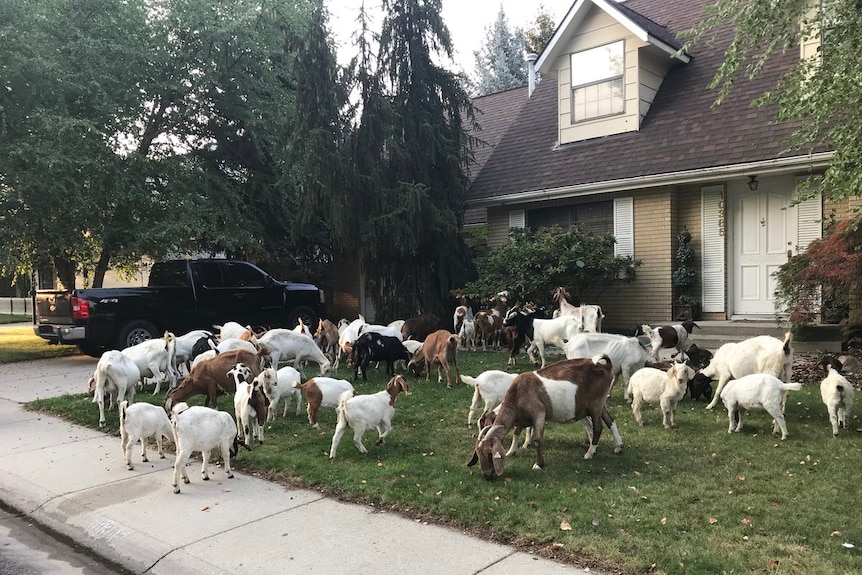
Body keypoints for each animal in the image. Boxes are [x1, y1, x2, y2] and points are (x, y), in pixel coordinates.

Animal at [470, 358, 624, 480]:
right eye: (478, 453)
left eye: (489, 454)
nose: (486, 475)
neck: (518, 392)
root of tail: (605, 366)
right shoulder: (522, 417)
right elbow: (516, 432)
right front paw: (511, 451)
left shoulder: (538, 412)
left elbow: (537, 439)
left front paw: (538, 464)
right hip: (599, 405)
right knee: (610, 420)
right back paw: (618, 447)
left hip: (595, 405)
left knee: (598, 427)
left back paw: (590, 453)